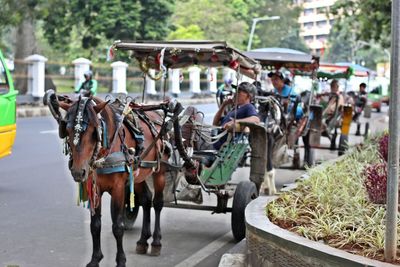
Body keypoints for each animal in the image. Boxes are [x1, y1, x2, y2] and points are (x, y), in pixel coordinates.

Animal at [44, 91, 180, 266]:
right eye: (66, 129)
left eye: (94, 131)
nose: (78, 172)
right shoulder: (94, 187)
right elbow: (95, 225)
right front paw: (95, 259)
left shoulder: (118, 188)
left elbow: (118, 226)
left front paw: (121, 260)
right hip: (138, 174)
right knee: (145, 200)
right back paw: (143, 241)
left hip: (159, 170)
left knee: (157, 203)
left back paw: (156, 242)